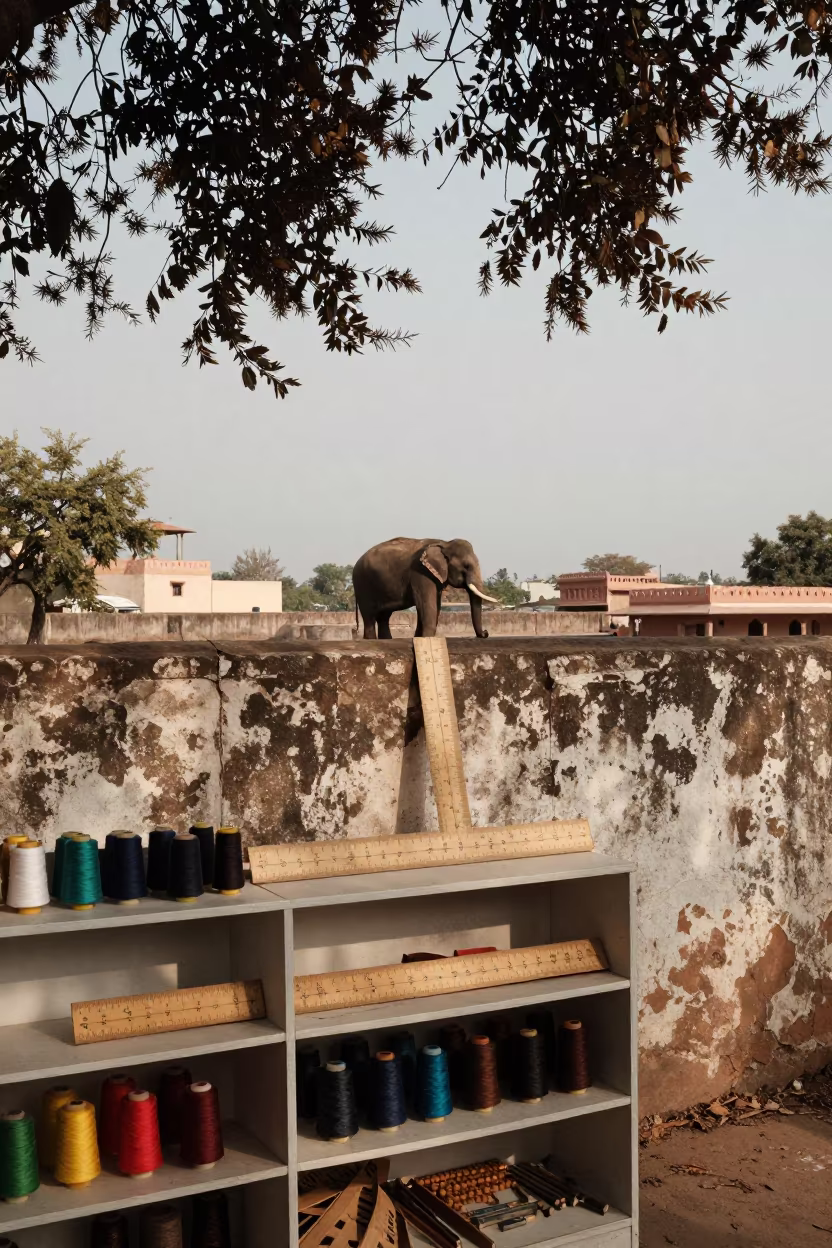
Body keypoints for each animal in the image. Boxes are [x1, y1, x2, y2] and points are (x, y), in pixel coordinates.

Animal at [352, 537, 498, 639]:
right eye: (466, 566)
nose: (485, 633)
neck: (444, 543)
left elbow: (435, 606)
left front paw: (420, 638)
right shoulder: (420, 573)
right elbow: (426, 605)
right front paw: (426, 638)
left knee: (384, 617)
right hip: (362, 585)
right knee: (369, 618)